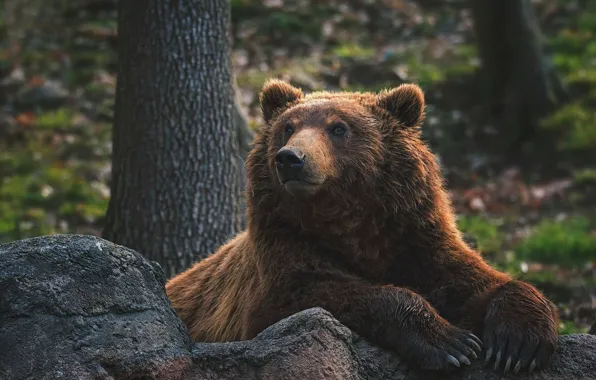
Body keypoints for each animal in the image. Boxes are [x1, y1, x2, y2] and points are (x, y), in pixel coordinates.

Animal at [164, 80, 560, 374]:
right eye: (287, 127)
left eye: (338, 127)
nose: (290, 158)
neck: (349, 221)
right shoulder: (282, 250)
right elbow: (310, 295)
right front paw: (452, 343)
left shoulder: (415, 237)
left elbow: (475, 280)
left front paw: (518, 343)